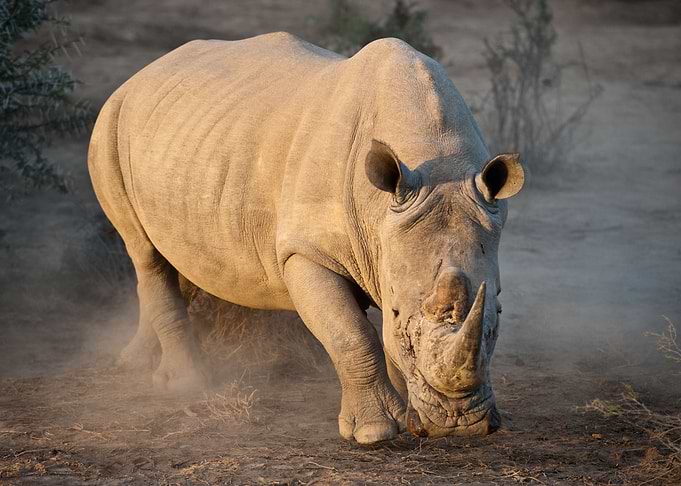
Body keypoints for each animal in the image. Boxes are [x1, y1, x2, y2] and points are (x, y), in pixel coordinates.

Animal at [88, 32, 525, 444]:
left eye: (498, 315)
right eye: (399, 314)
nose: (459, 425)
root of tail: (142, 73)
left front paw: (411, 410)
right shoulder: (306, 252)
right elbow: (352, 334)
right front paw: (376, 432)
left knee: (181, 260)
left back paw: (133, 362)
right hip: (110, 123)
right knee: (144, 252)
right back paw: (184, 384)